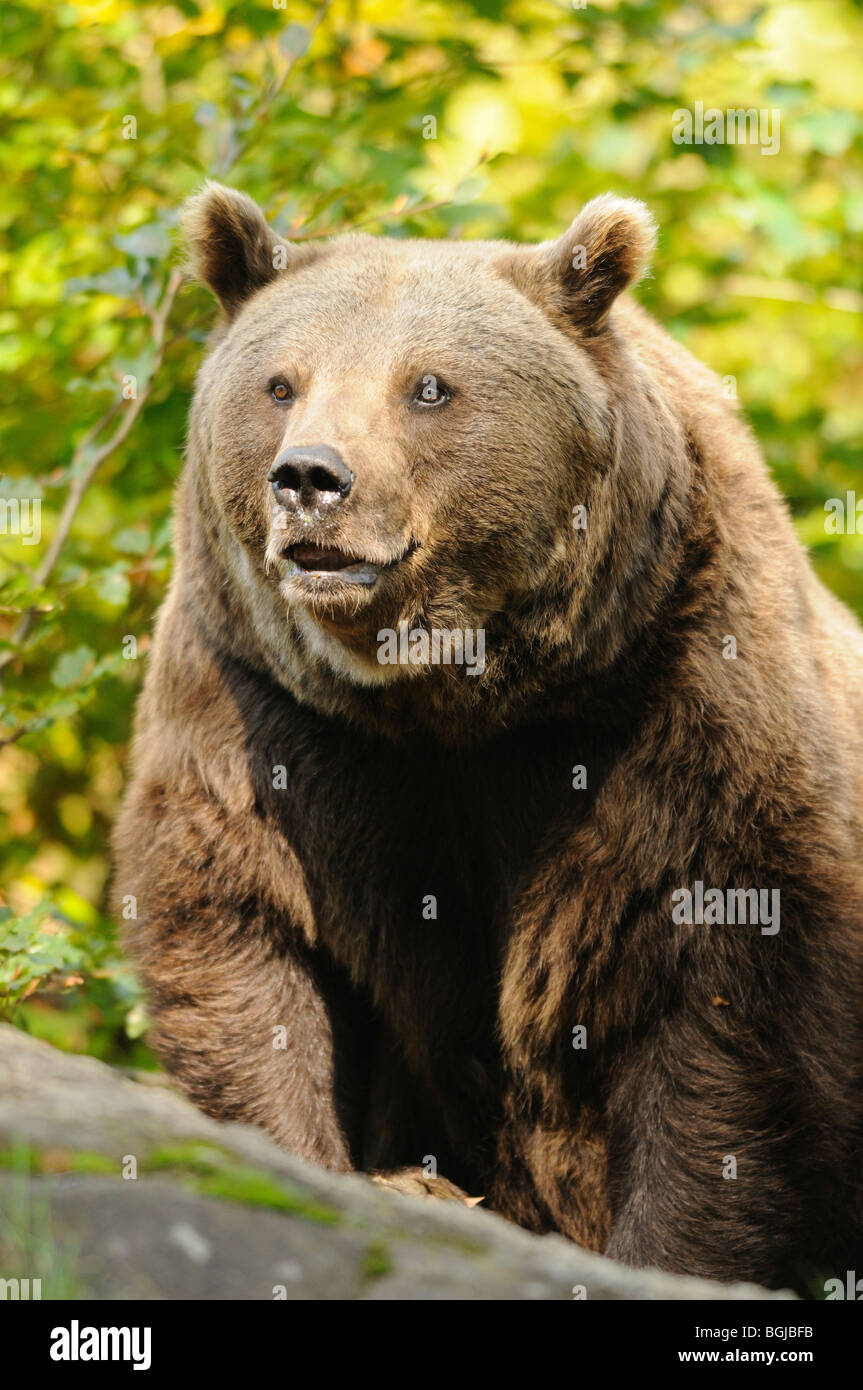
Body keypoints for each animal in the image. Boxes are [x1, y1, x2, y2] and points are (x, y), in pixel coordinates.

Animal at [113, 181, 863, 1293]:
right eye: (279, 382)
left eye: (428, 387)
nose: (310, 478)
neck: (461, 696)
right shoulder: (265, 709)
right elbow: (249, 939)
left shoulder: (689, 707)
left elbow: (723, 1014)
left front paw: (669, 1249)